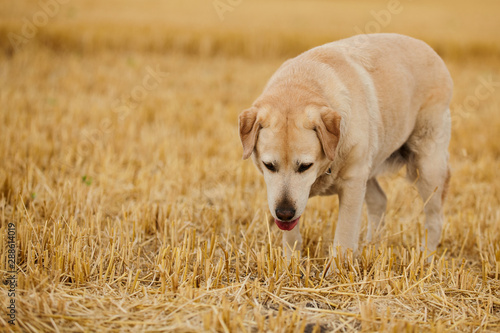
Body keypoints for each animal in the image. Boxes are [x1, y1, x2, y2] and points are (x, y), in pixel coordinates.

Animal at [238, 33, 454, 262]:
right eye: (269, 165)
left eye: (305, 166)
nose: (284, 213)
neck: (301, 85)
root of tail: (429, 49)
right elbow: (291, 237)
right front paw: (290, 264)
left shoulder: (352, 185)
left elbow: (343, 238)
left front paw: (336, 268)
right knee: (379, 201)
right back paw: (371, 248)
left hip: (427, 167)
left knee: (435, 218)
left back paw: (426, 258)